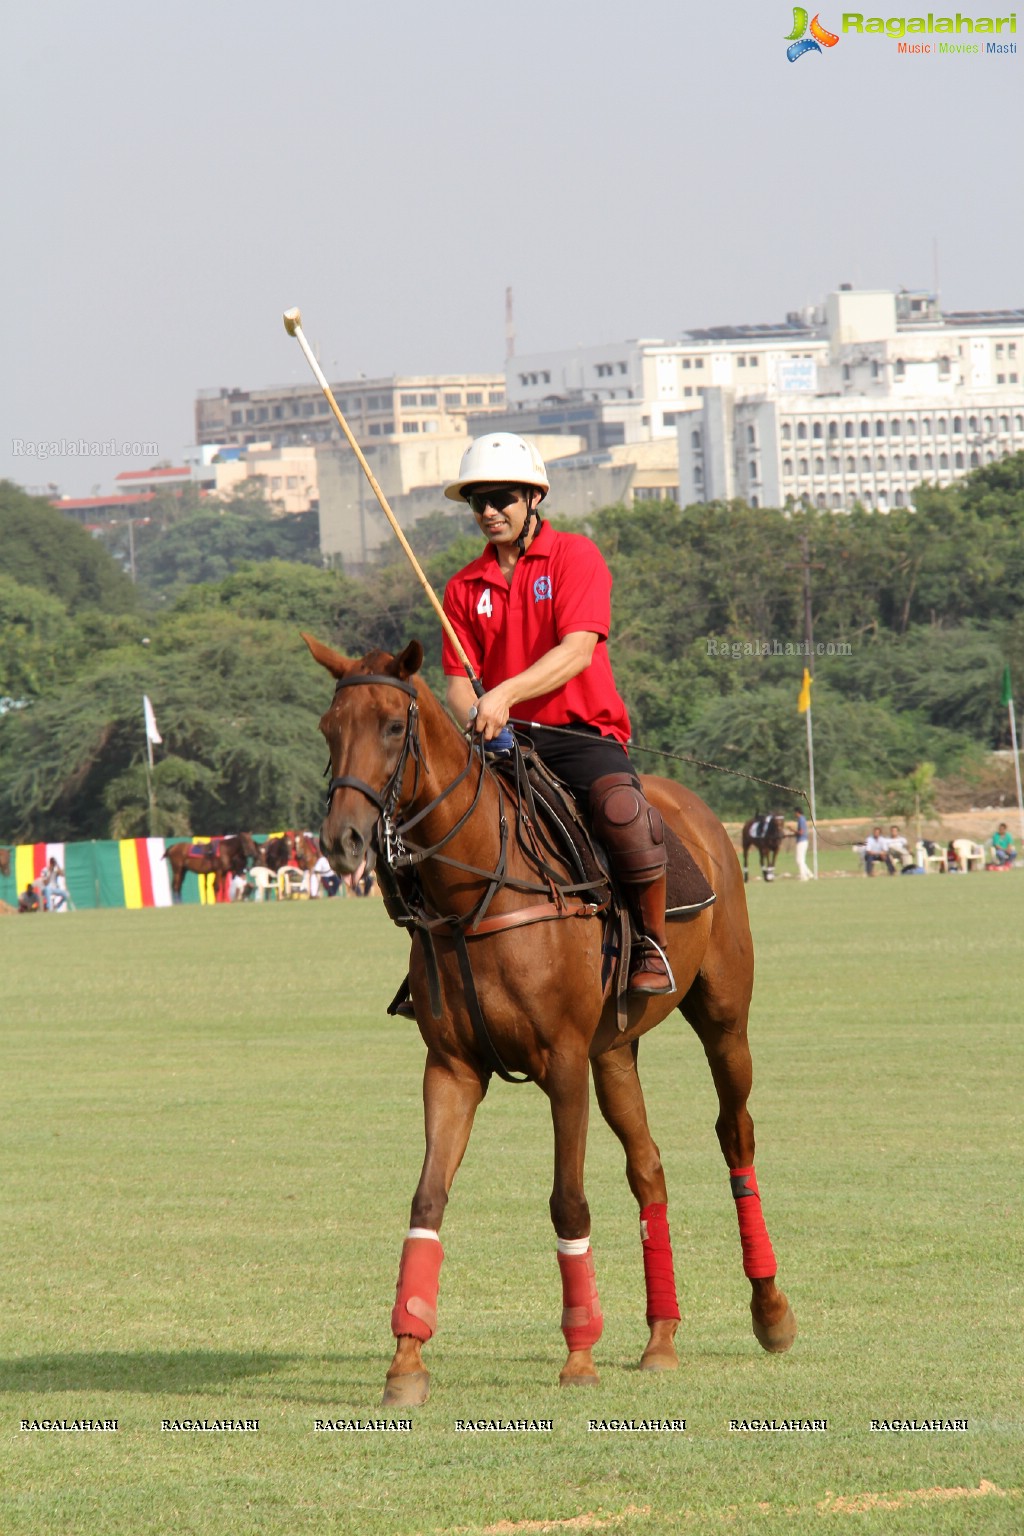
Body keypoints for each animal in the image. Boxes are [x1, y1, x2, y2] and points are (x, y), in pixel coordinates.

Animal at [300, 632, 798, 1406]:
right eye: (329, 728)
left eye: (388, 726)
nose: (344, 841)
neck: (474, 891)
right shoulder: (451, 1068)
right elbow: (426, 1202)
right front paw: (406, 1362)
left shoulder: (561, 1063)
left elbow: (568, 1202)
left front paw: (580, 1356)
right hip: (613, 1050)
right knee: (648, 1169)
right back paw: (661, 1338)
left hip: (723, 1017)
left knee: (735, 1134)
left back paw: (771, 1311)